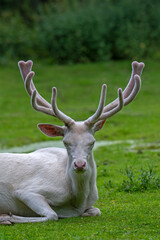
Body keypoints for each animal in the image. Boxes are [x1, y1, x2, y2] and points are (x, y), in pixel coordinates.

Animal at [0, 60, 144, 225]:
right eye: (65, 142)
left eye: (92, 142)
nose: (79, 165)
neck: (78, 197)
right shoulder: (26, 191)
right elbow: (52, 215)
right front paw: (6, 217)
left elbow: (96, 211)